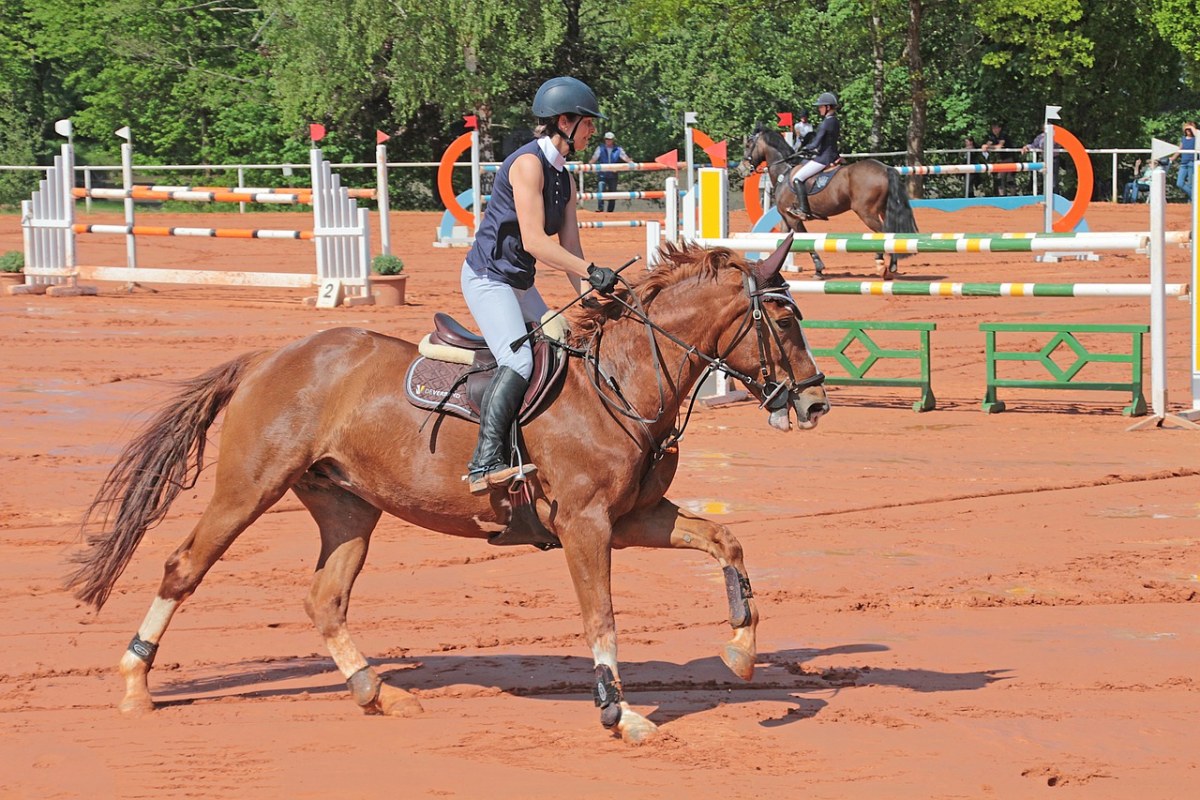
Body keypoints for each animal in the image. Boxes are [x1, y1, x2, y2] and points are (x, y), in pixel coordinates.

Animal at [65, 237, 830, 743]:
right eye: (784, 321)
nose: (816, 402)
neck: (621, 381)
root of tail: (268, 357)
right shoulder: (586, 525)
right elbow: (601, 616)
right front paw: (621, 712)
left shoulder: (636, 517)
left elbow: (726, 540)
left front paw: (741, 651)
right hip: (248, 488)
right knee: (183, 567)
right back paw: (134, 684)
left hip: (348, 507)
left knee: (324, 598)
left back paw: (376, 693)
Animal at [729, 122, 916, 278]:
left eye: (748, 145)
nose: (741, 169)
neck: (784, 172)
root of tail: (885, 168)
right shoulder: (786, 219)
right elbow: (783, 241)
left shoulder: (793, 218)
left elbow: (805, 241)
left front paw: (819, 269)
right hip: (883, 210)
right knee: (892, 233)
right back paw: (892, 265)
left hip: (866, 212)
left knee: (883, 233)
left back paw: (880, 262)